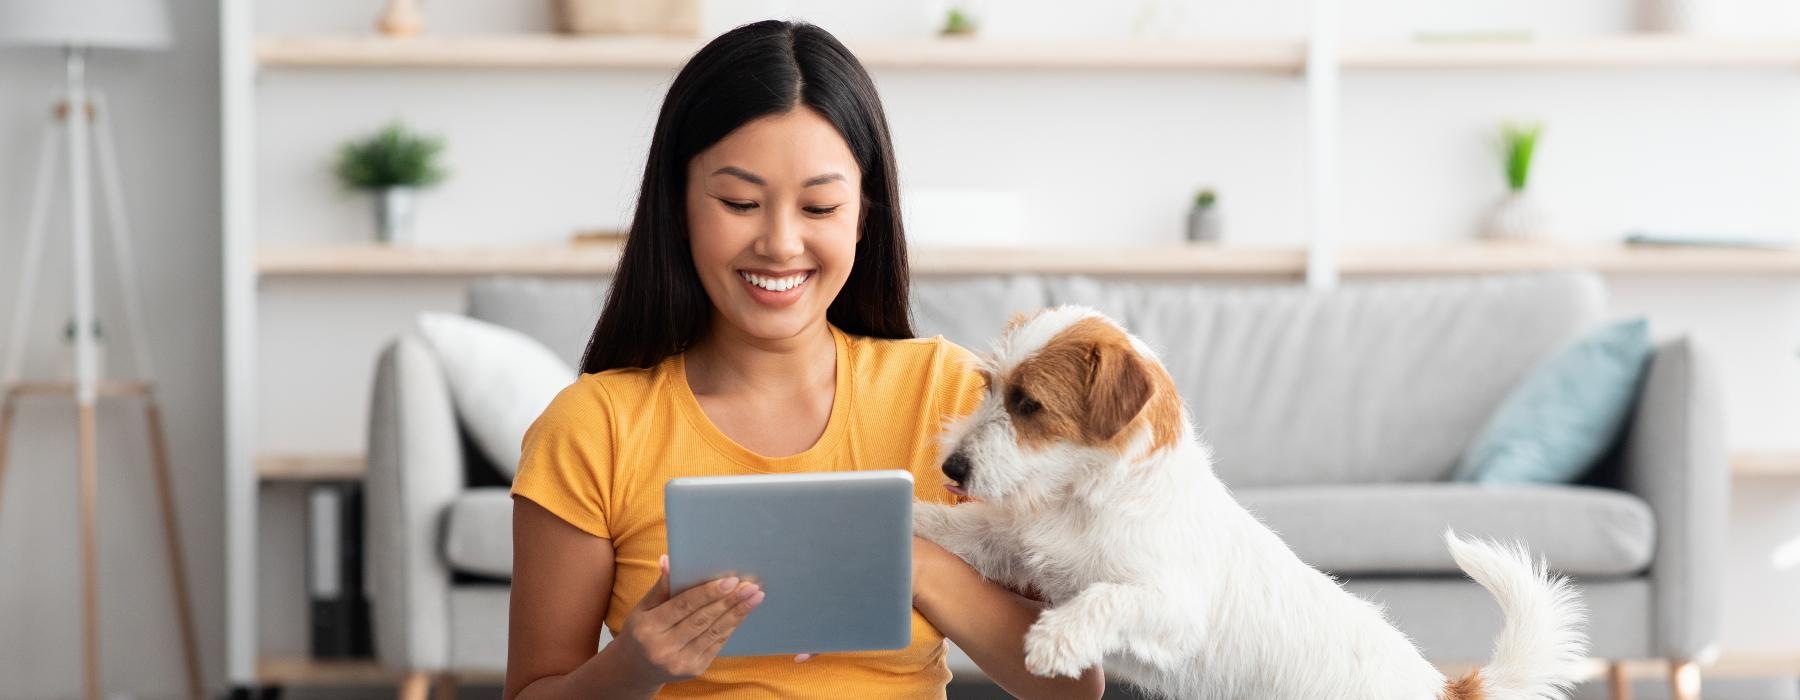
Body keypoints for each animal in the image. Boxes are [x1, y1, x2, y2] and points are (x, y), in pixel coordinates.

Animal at [914, 307, 1591, 698]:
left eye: (1029, 404)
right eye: (989, 386)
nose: (952, 467)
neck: (1081, 501)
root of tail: (1442, 689)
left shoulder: (1171, 606)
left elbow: (1108, 597)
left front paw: (1055, 640)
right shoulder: (1015, 545)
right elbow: (954, 528)